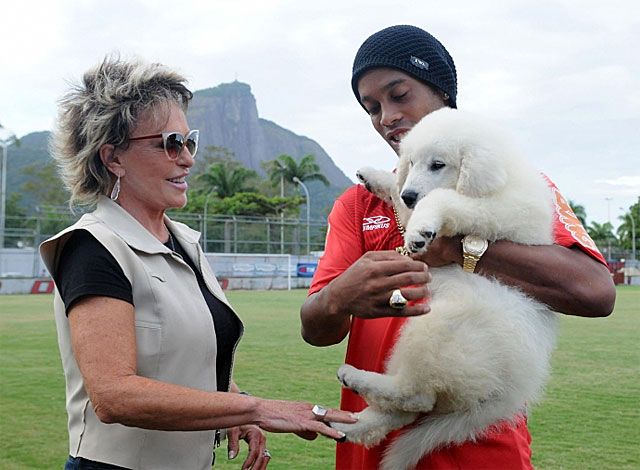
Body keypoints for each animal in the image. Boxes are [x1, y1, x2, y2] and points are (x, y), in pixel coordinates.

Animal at [332, 108, 556, 470]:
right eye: (412, 162)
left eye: (438, 165)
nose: (410, 195)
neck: (501, 177)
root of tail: (510, 389)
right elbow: (401, 196)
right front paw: (376, 177)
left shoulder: (502, 209)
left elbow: (444, 197)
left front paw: (420, 229)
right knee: (408, 411)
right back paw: (349, 425)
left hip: (439, 330)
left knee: (417, 396)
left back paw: (357, 378)